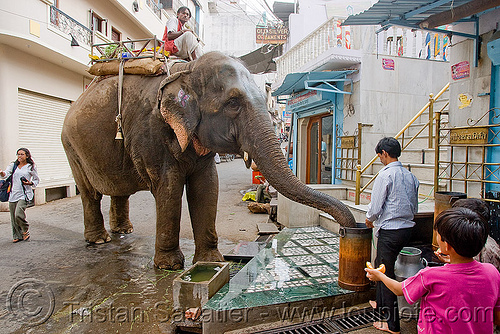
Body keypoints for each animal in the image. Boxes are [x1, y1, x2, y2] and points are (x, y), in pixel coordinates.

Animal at [61, 52, 356, 272]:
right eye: (233, 103)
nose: (349, 230)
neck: (186, 71)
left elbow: (207, 186)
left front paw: (211, 262)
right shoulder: (151, 133)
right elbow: (169, 188)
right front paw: (170, 267)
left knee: (119, 191)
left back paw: (124, 231)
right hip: (70, 146)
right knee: (89, 193)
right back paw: (100, 240)